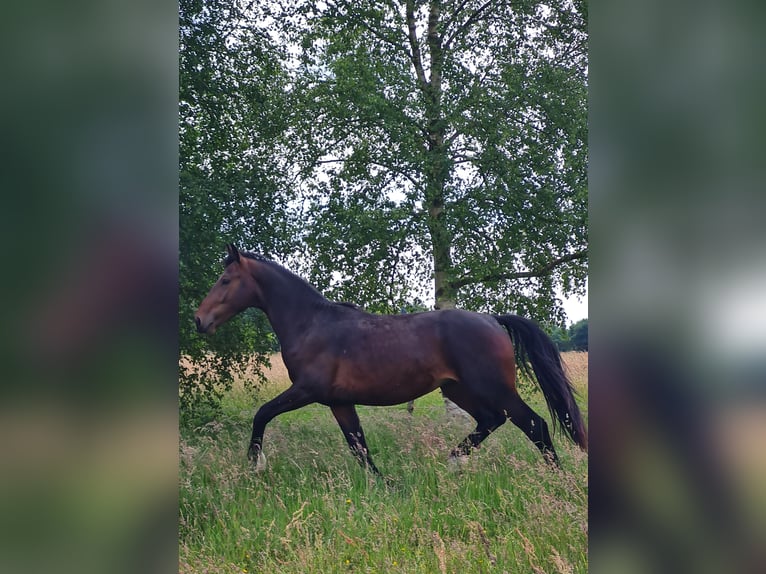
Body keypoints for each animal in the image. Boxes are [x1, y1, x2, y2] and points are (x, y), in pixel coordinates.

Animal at [196, 245, 588, 474]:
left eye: (225, 280)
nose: (200, 321)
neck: (311, 324)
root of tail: (492, 319)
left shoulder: (306, 390)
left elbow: (262, 414)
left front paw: (255, 465)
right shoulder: (339, 402)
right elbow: (359, 447)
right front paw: (382, 485)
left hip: (493, 388)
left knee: (534, 425)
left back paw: (556, 479)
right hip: (459, 390)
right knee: (492, 420)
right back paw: (453, 460)